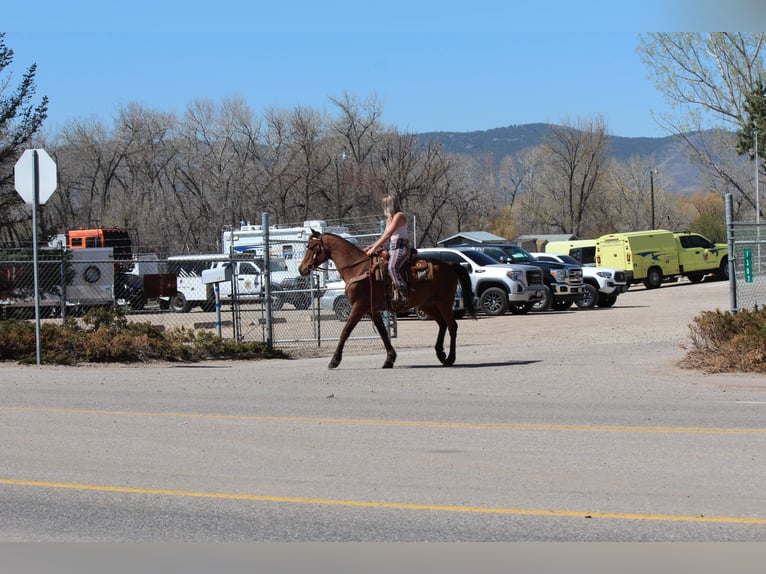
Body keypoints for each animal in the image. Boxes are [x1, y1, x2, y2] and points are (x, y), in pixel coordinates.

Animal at [298, 230, 476, 369]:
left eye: (311, 247)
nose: (302, 269)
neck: (358, 269)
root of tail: (449, 264)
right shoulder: (372, 310)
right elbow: (383, 332)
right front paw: (390, 359)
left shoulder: (359, 306)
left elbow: (345, 331)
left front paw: (334, 361)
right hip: (427, 304)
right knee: (442, 324)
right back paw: (441, 354)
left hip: (444, 302)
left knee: (452, 326)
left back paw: (450, 358)